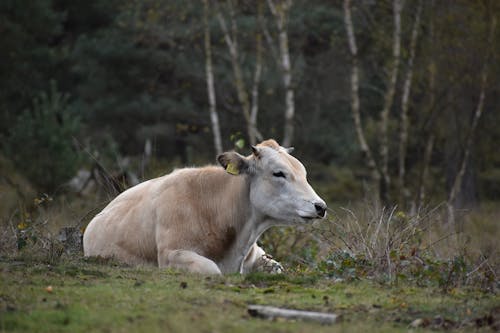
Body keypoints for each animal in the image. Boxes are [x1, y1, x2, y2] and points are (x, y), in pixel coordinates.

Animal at [84, 139, 326, 274]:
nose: (320, 206)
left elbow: (277, 268)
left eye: (303, 172)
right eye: (278, 173)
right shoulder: (172, 254)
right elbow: (212, 270)